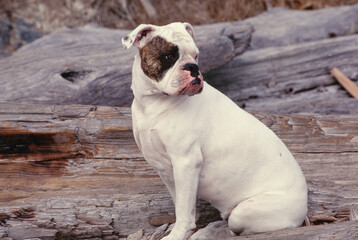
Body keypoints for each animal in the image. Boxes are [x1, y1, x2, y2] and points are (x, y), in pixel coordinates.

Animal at [123, 22, 308, 238]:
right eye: (169, 56)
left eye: (196, 55)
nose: (193, 67)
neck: (153, 103)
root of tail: (303, 207)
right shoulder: (166, 169)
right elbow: (181, 204)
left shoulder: (186, 163)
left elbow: (183, 210)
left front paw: (177, 234)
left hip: (245, 212)